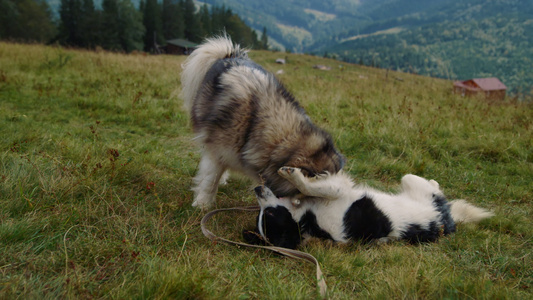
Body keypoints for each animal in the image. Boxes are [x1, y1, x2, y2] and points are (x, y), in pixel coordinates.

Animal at [243, 166, 492, 248]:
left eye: (268, 213)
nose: (257, 189)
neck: (307, 222)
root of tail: (447, 222)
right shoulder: (338, 193)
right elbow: (322, 187)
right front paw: (298, 180)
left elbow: (311, 189)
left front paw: (298, 186)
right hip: (413, 182)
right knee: (434, 187)